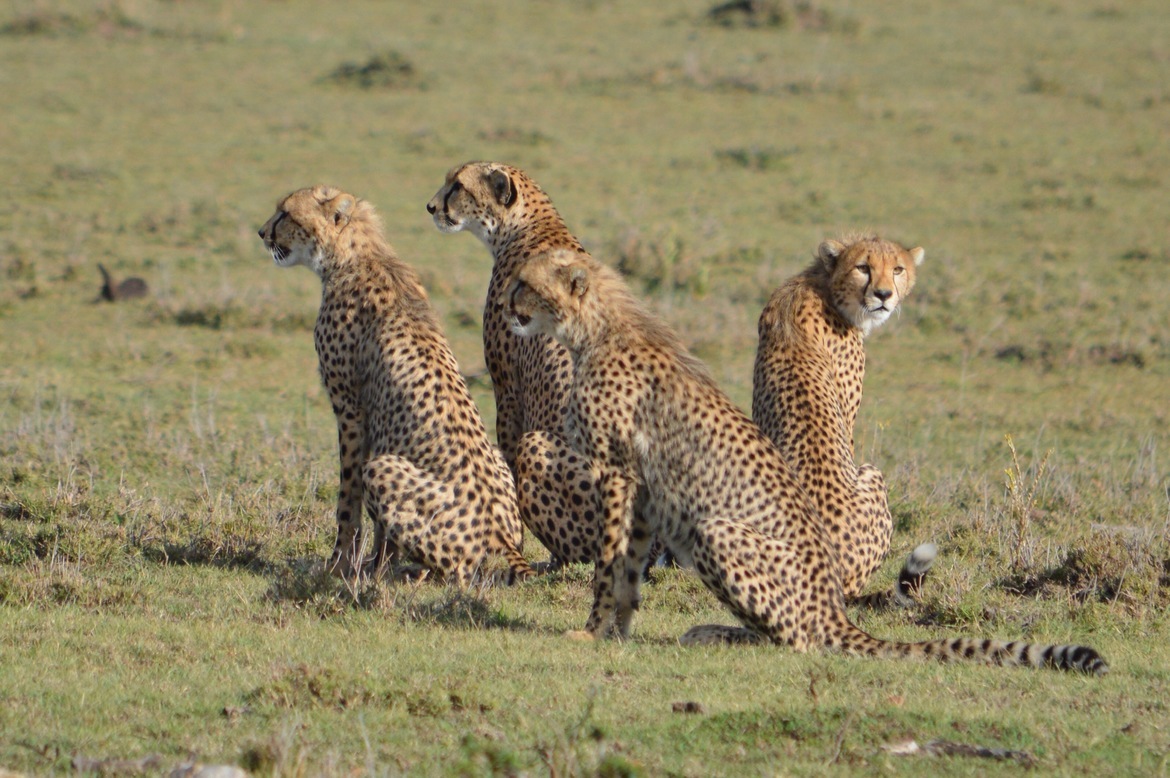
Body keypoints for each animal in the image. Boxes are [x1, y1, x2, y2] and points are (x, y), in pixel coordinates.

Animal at [258, 184, 533, 585]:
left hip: (383, 469)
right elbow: (379, 527)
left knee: (459, 570)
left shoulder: (350, 410)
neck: (354, 256)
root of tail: (506, 540)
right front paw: (376, 566)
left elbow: (348, 498)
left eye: (285, 214)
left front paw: (340, 565)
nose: (262, 233)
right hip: (497, 456)